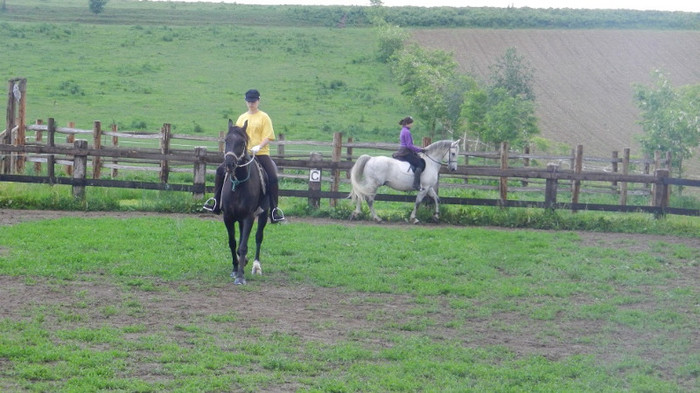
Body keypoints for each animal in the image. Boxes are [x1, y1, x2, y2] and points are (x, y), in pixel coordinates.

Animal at [221, 118, 268, 284]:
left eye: (242, 142)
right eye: (226, 140)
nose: (229, 164)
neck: (238, 183)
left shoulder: (249, 217)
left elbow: (243, 246)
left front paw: (240, 276)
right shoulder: (228, 217)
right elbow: (233, 242)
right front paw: (235, 269)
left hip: (264, 214)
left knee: (259, 237)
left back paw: (256, 266)